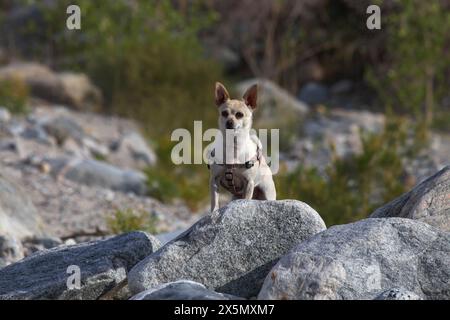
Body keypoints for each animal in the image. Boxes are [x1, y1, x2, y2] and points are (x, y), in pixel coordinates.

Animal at [209, 82, 276, 212]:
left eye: (239, 115)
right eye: (224, 113)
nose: (229, 122)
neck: (234, 146)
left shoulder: (249, 183)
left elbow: (246, 199)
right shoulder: (214, 180)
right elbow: (214, 200)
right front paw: (213, 212)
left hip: (267, 193)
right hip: (235, 196)